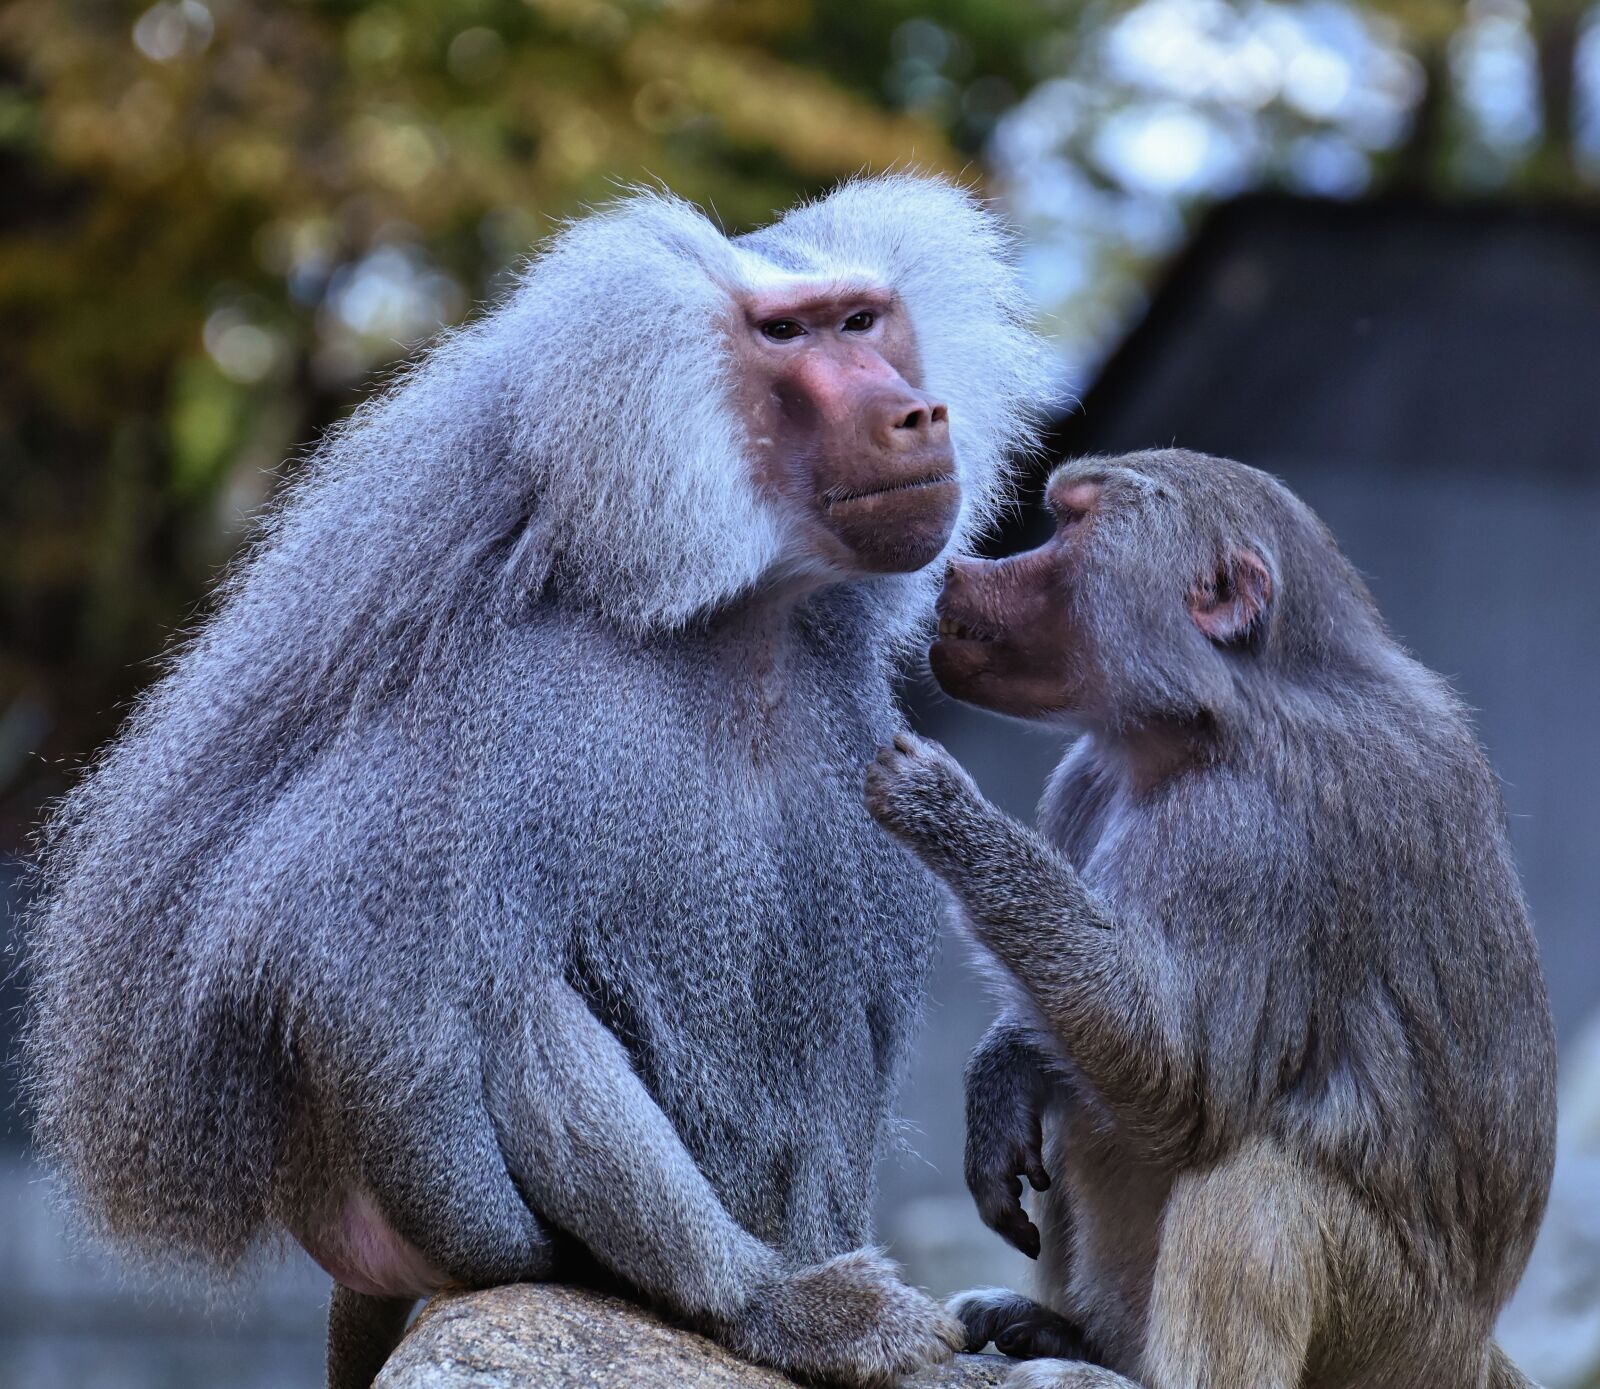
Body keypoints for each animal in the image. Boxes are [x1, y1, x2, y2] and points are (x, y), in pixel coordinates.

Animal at [22, 176, 1056, 1388]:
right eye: (785, 335)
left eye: (863, 320)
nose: (916, 415)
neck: (742, 624)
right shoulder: (527, 707)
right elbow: (326, 945)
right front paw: (781, 1309)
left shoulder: (853, 730)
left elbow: (847, 1010)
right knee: (500, 1000)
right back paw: (763, 1303)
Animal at [864, 449, 1557, 1389]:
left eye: (1070, 522)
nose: (958, 572)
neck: (1209, 715)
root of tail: (1470, 1349)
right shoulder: (1085, 780)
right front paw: (1002, 1072)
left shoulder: (1247, 832)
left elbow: (1177, 1074)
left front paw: (940, 809)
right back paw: (1071, 1335)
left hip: (1394, 1338)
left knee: (1256, 1173)